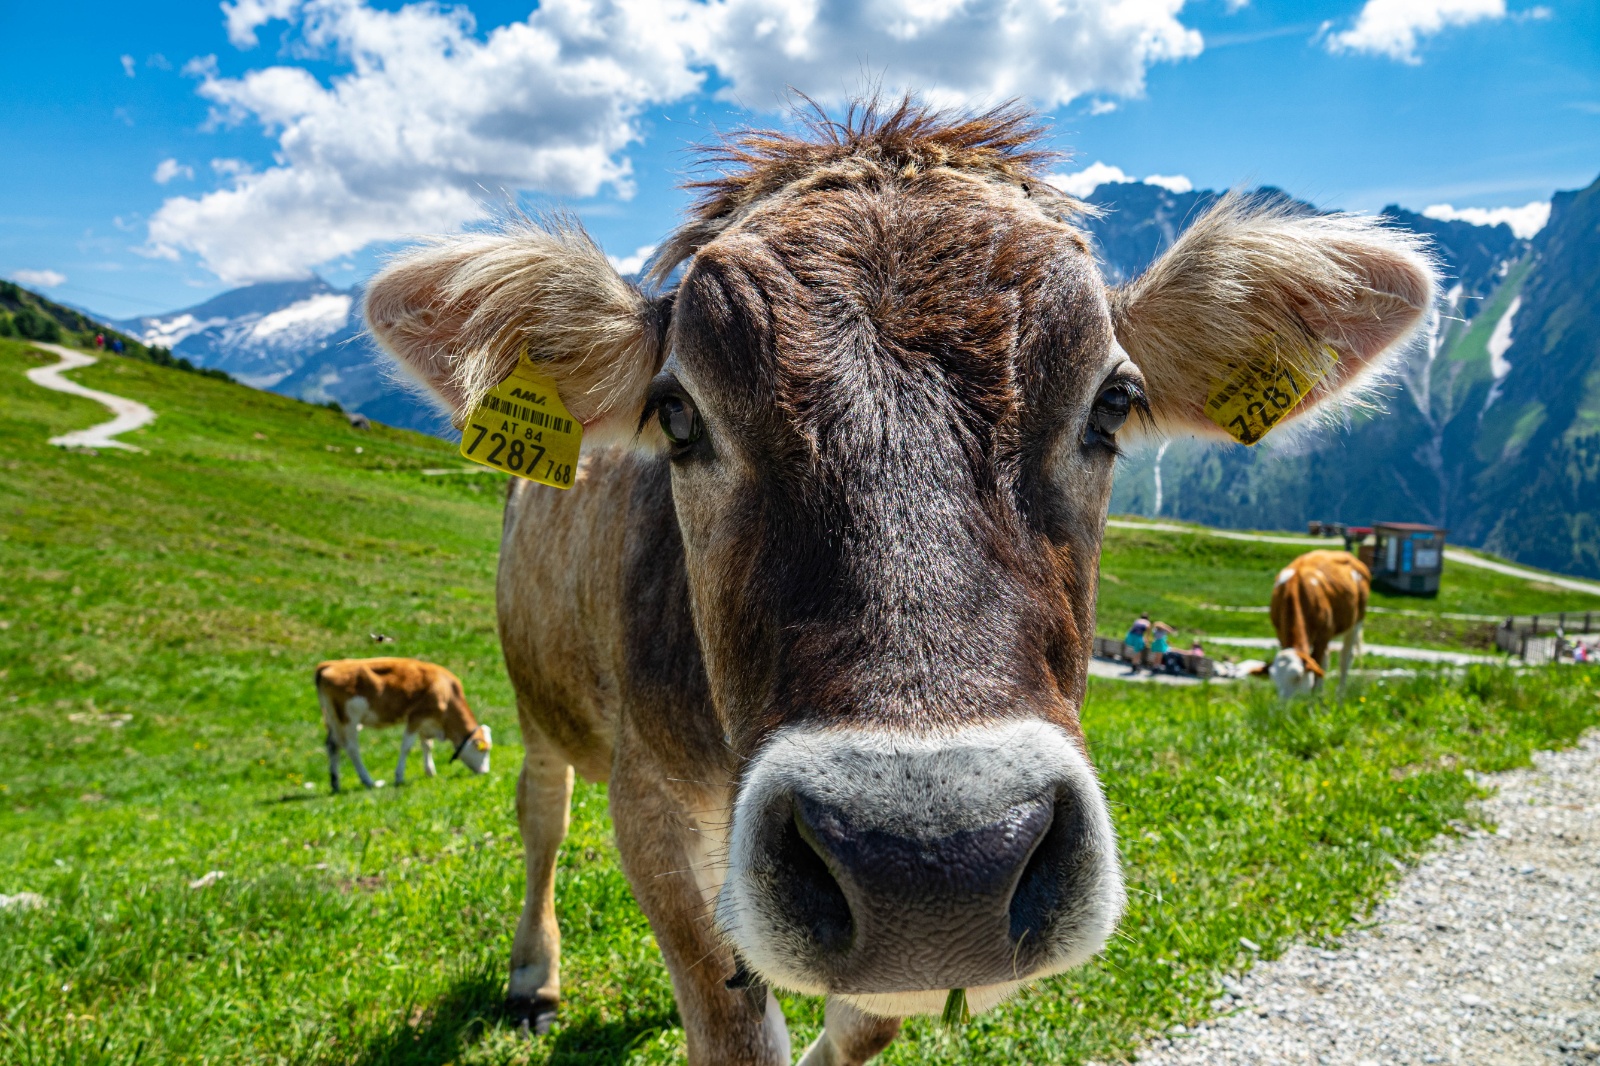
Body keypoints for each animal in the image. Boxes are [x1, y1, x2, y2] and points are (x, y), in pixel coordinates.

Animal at [315, 657, 492, 792]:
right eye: (483, 750)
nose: (485, 772)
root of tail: (329, 665)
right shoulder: (416, 717)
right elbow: (406, 746)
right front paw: (399, 777)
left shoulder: (426, 722)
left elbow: (427, 745)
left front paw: (430, 771)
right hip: (349, 718)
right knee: (351, 748)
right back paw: (369, 781)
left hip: (332, 719)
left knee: (332, 745)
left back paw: (335, 784)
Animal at [1258, 550, 1371, 699]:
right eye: (1274, 679)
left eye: (1298, 677)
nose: (1283, 705)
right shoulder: (1280, 634)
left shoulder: (1323, 637)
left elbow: (1317, 670)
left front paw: (1312, 702)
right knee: (1327, 660)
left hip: (1356, 622)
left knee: (1345, 658)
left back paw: (1339, 695)